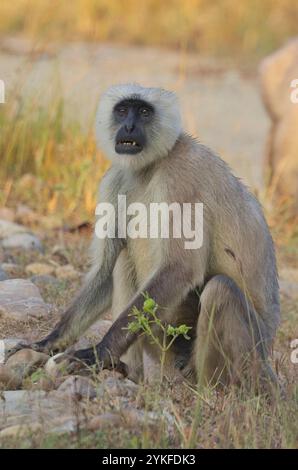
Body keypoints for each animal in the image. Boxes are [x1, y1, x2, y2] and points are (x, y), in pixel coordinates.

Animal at [11, 84, 280, 390]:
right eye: (122, 110)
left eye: (143, 111)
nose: (129, 126)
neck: (151, 166)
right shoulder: (115, 178)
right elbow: (106, 269)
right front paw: (49, 342)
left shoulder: (181, 175)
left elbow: (181, 269)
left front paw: (99, 352)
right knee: (123, 260)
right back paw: (128, 371)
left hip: (245, 352)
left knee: (219, 289)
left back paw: (206, 389)